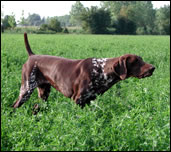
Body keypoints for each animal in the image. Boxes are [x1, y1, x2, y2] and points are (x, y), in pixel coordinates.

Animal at [12, 33, 156, 108]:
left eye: (141, 59)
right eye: (135, 61)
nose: (153, 68)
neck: (101, 70)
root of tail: (32, 56)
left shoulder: (89, 101)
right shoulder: (78, 100)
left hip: (43, 94)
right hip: (26, 90)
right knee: (14, 106)